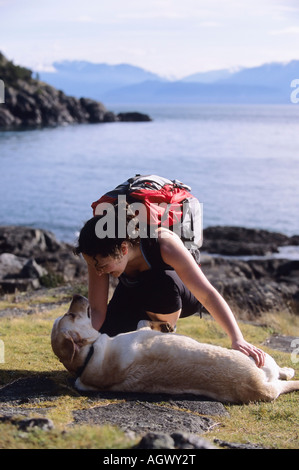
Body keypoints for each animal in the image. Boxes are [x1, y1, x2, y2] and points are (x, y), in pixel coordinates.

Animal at [51, 294, 299, 404]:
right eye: (70, 314)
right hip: (260, 358)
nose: (76, 295)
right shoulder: (141, 331)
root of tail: (258, 387)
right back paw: (289, 371)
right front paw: (163, 325)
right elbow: (144, 322)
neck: (87, 357)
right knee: (281, 373)